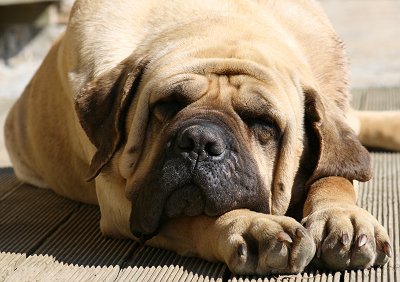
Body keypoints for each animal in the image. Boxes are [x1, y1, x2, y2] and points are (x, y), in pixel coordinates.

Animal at [3, 0, 400, 276]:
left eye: (263, 123)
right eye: (167, 105)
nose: (199, 143)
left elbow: (334, 173)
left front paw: (343, 218)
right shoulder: (121, 200)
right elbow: (197, 219)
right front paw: (250, 227)